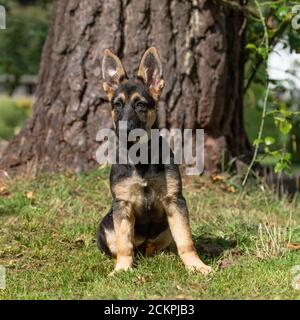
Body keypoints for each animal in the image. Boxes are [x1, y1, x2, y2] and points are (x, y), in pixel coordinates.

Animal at [96, 47, 211, 276]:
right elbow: (124, 243)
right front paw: (122, 269)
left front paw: (196, 265)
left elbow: (186, 240)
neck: (140, 158)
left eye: (140, 104)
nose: (124, 130)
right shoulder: (122, 205)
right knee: (125, 245)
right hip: (107, 223)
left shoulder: (175, 201)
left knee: (157, 245)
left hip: (166, 226)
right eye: (117, 105)